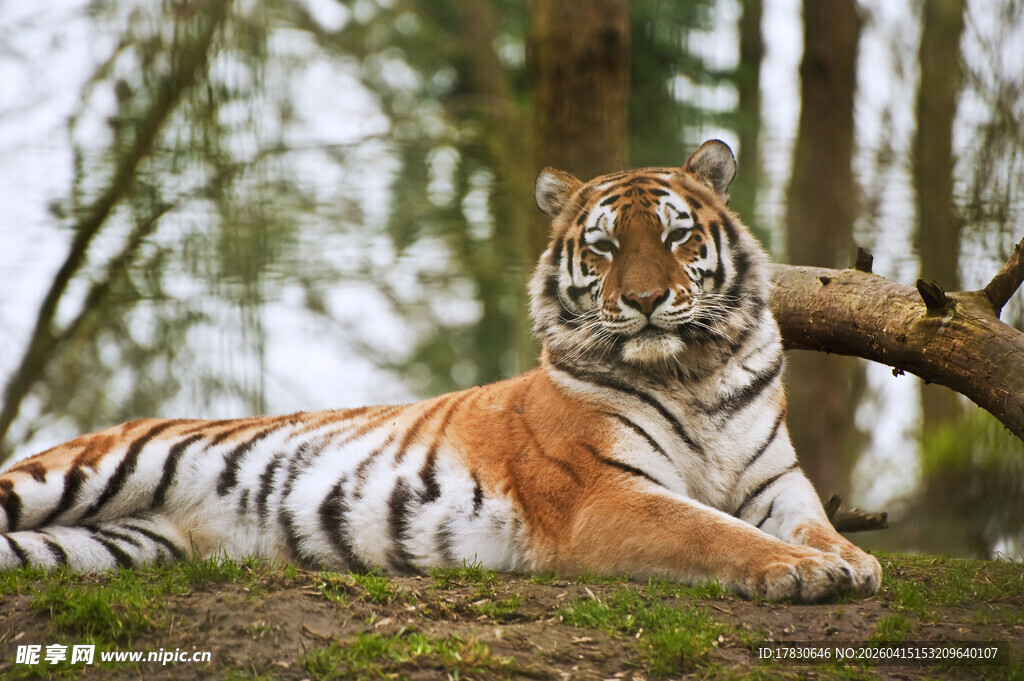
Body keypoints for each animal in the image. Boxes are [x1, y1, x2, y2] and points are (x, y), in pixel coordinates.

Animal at [0, 140, 880, 602]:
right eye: (602, 246)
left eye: (675, 236)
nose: (643, 300)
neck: (690, 373)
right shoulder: (608, 494)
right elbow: (709, 528)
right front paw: (803, 570)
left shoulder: (776, 481)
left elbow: (810, 519)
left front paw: (852, 558)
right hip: (80, 471)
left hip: (111, 544)